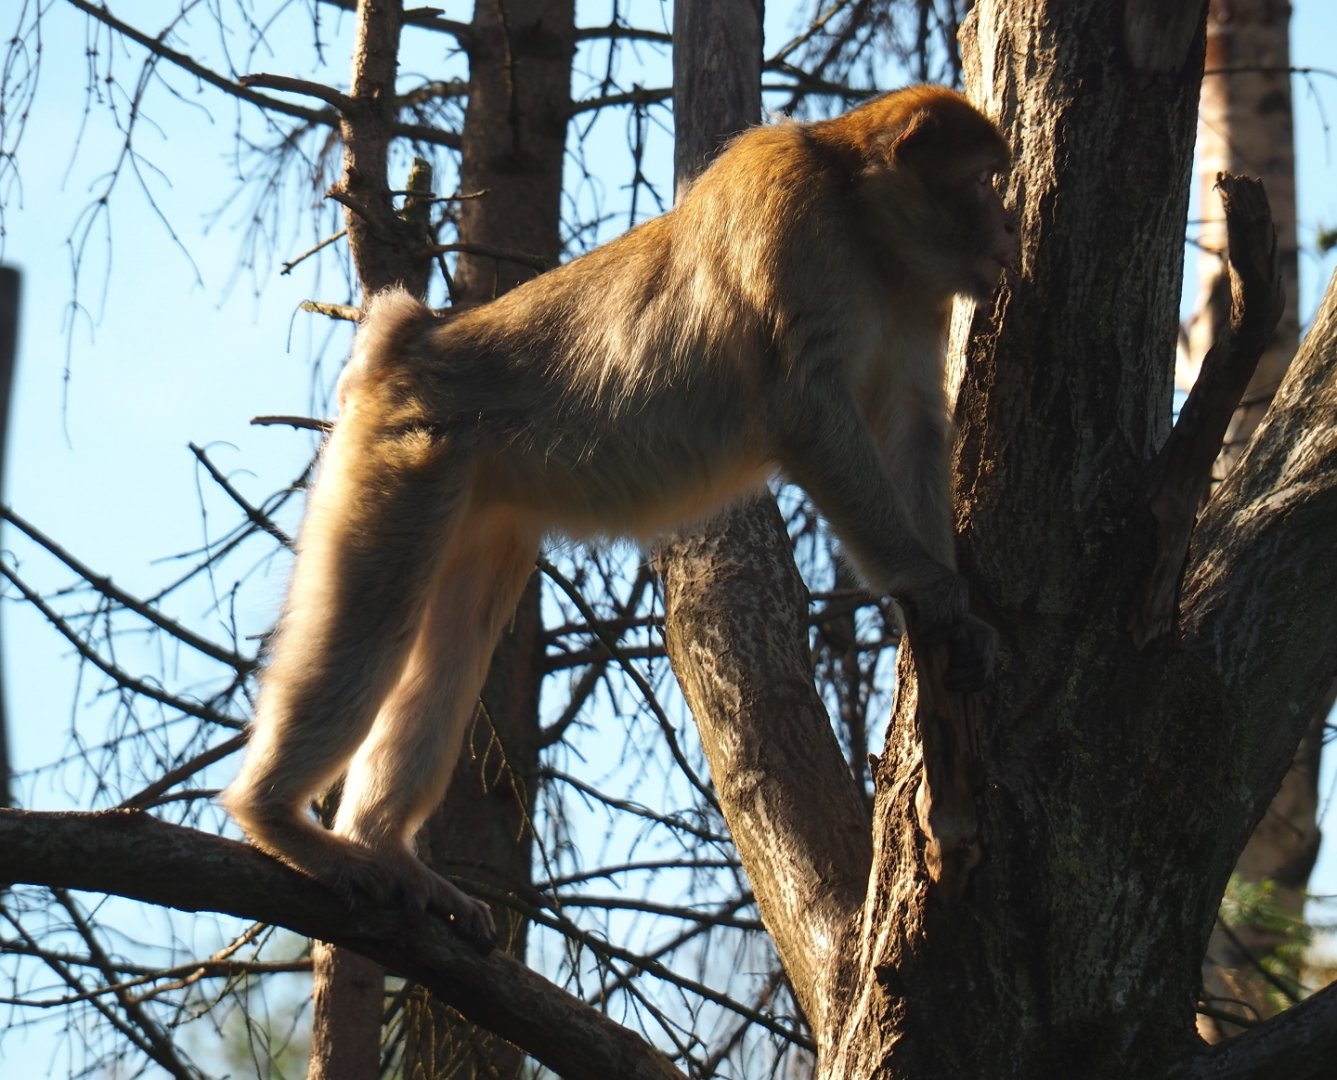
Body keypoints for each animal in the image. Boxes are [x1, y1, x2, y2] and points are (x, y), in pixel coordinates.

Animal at [222, 85, 1015, 949]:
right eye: (982, 181)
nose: (1009, 226)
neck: (866, 233)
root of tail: (413, 341)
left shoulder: (919, 300)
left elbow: (912, 427)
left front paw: (958, 618)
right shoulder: (791, 218)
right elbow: (807, 406)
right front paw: (927, 585)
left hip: (480, 505)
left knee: (451, 642)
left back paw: (382, 847)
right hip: (403, 454)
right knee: (373, 618)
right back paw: (275, 818)